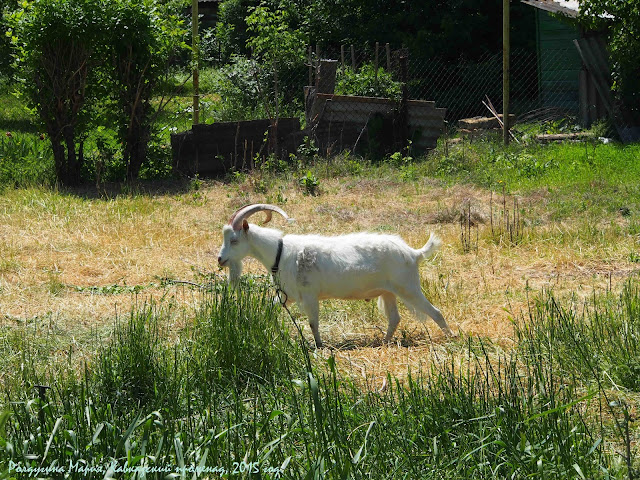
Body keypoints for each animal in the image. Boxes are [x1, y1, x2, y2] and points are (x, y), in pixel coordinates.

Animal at [218, 203, 452, 348]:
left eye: (234, 240)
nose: (220, 260)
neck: (280, 253)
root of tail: (413, 253)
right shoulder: (288, 295)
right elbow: (271, 307)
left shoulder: (309, 295)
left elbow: (313, 323)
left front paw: (319, 345)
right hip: (388, 293)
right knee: (395, 318)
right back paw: (384, 342)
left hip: (408, 288)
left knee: (436, 312)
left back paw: (452, 338)